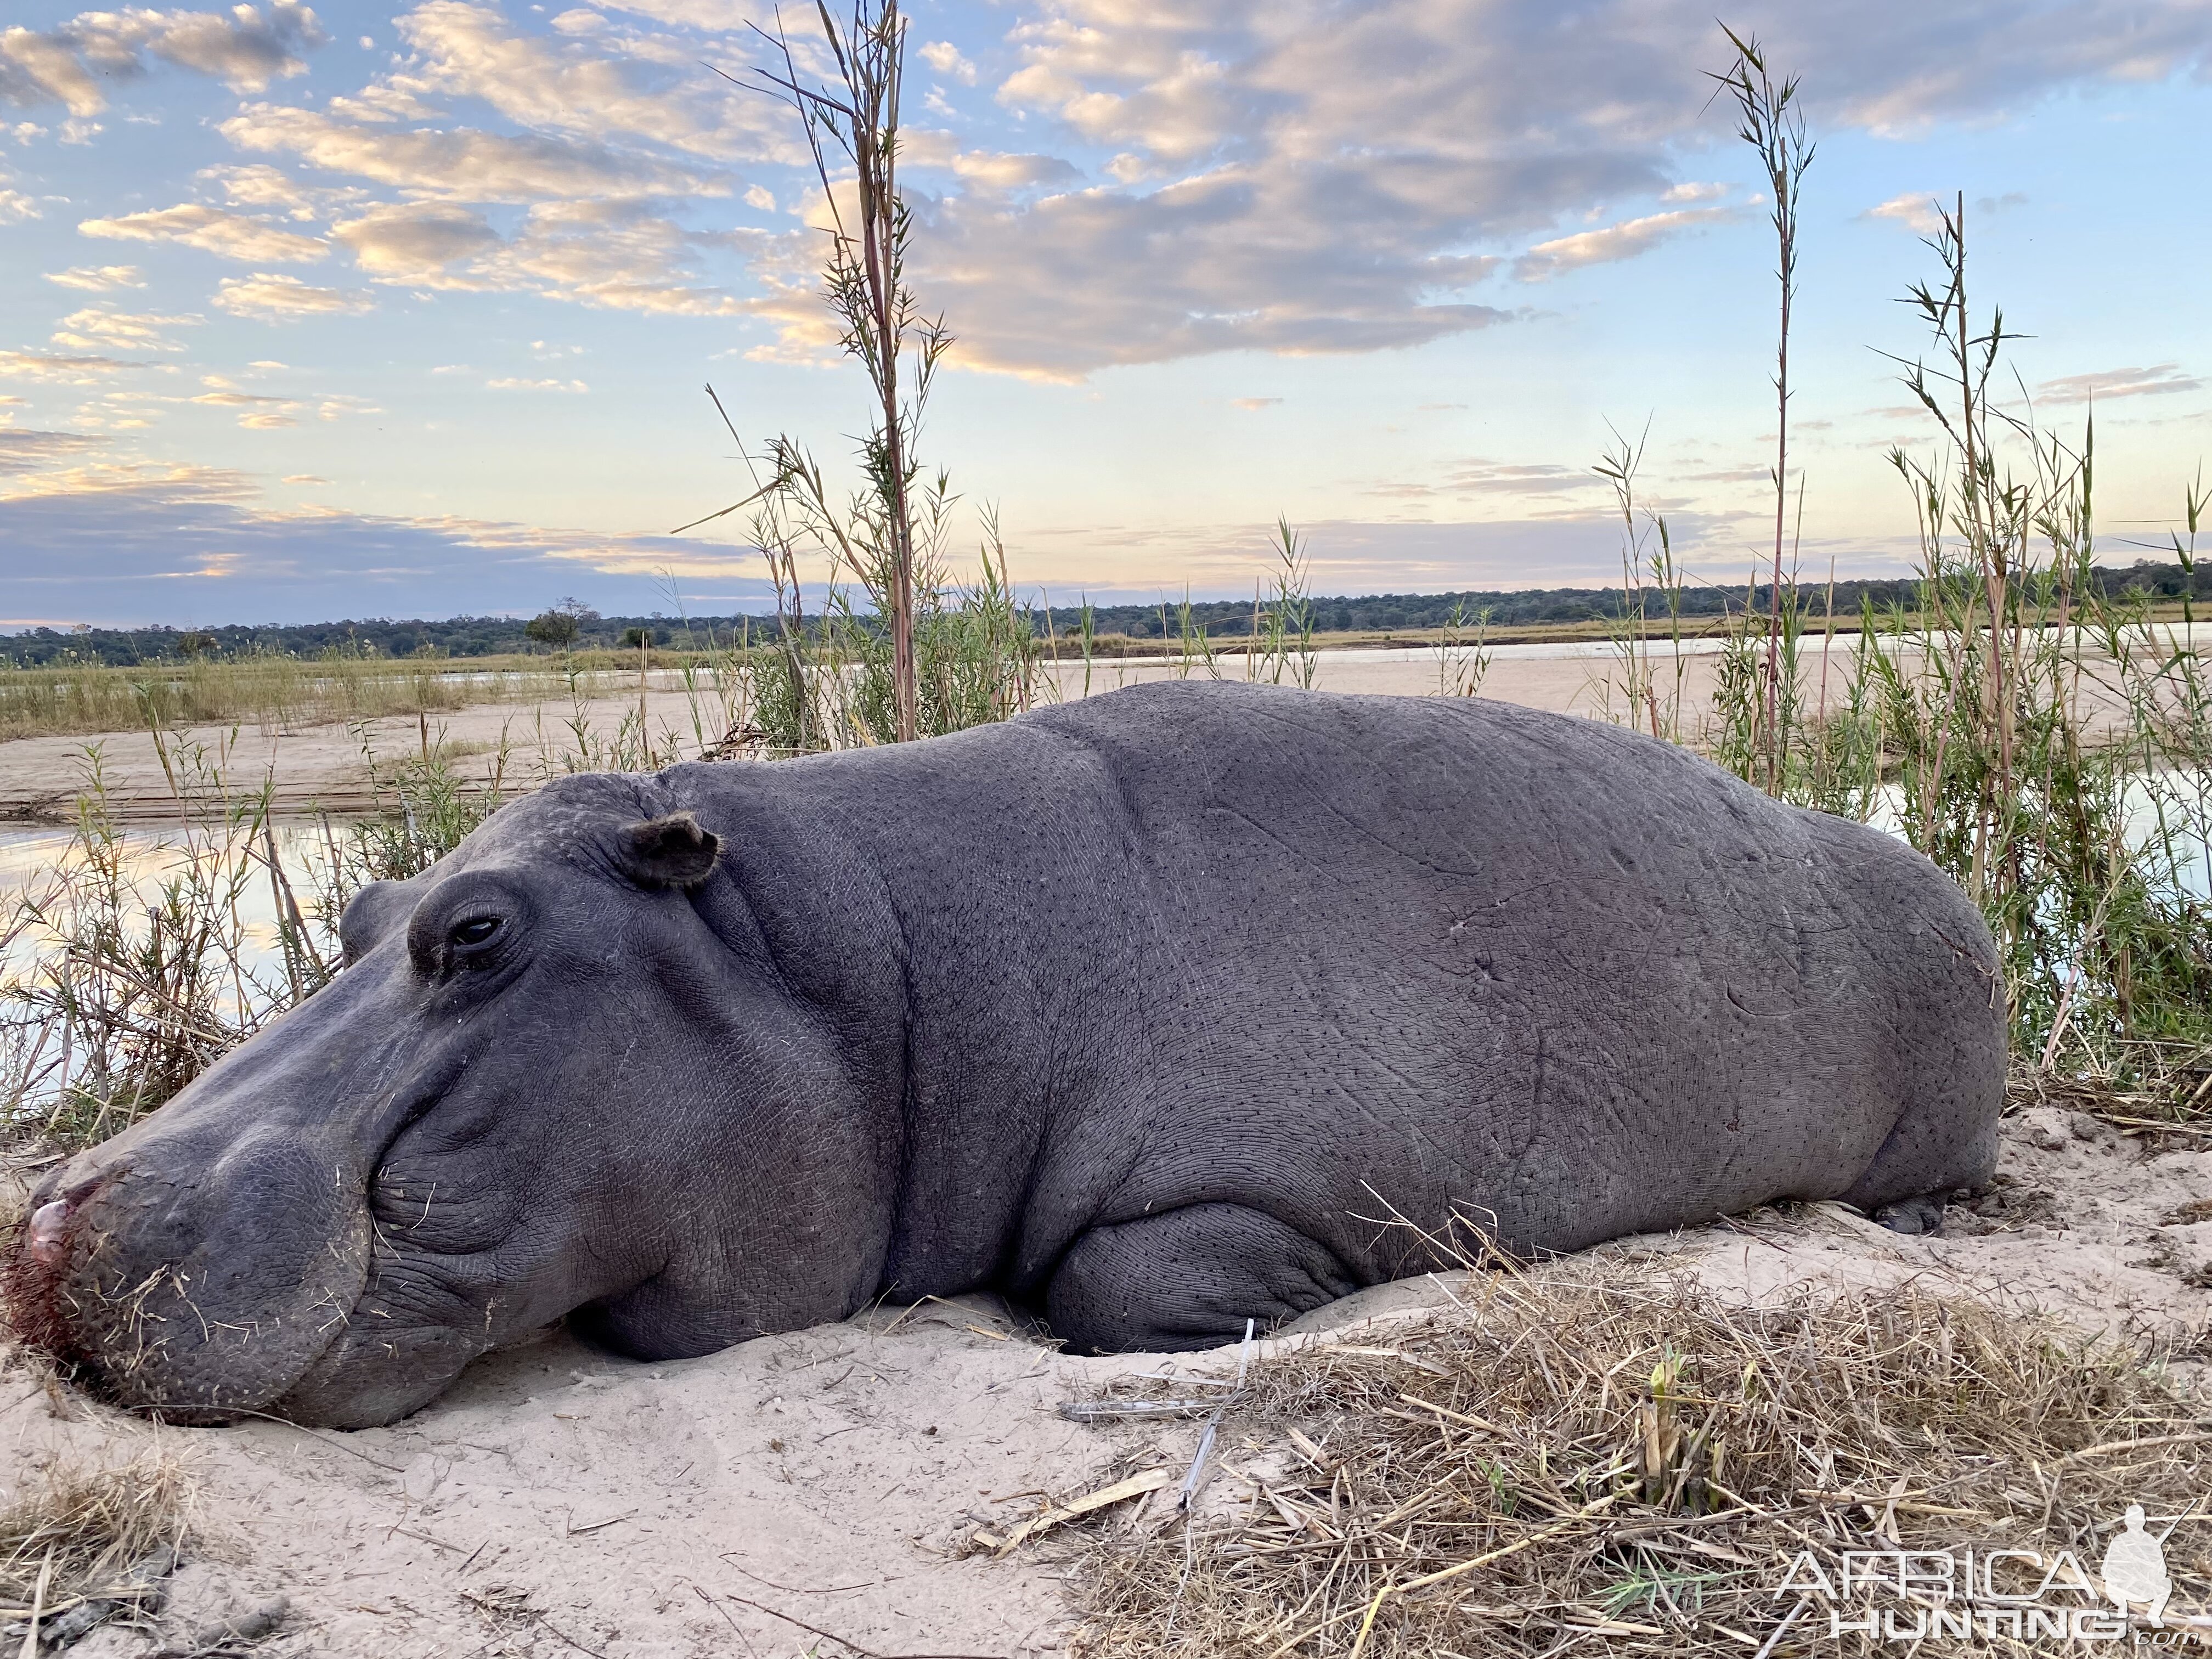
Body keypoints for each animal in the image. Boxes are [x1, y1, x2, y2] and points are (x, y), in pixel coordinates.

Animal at [4, 681, 2008, 1424]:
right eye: (359, 910)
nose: (52, 1223)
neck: (878, 967)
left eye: (478, 934)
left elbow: (1119, 1282)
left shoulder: (1240, 1188)